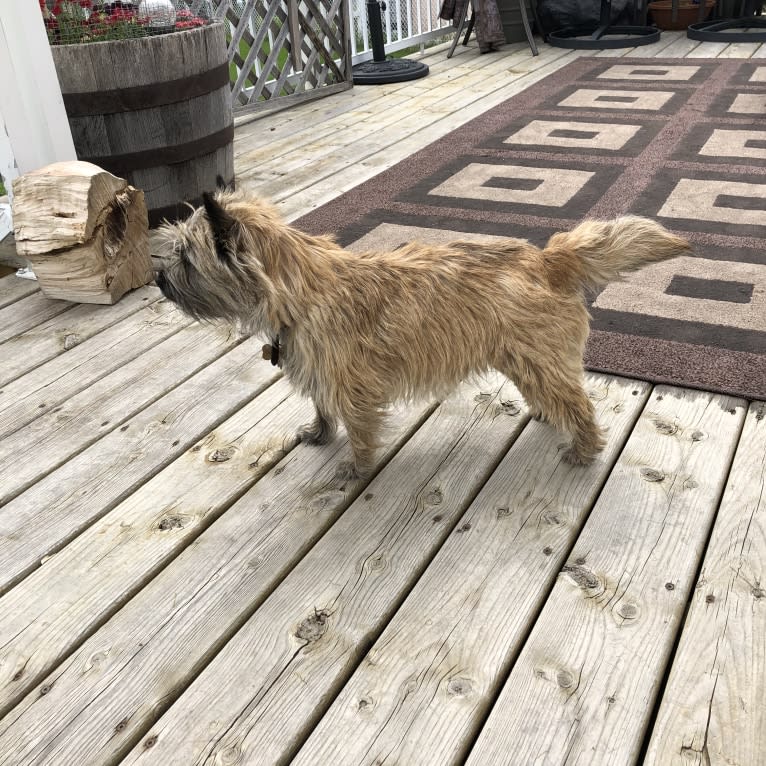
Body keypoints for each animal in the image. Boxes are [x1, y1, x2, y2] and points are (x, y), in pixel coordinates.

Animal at [153, 192, 692, 480]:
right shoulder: (324, 374)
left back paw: (583, 450)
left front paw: (356, 466)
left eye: (185, 258)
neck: (299, 288)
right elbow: (322, 407)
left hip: (540, 360)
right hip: (526, 358)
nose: (158, 278)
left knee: (581, 406)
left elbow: (359, 429)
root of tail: (545, 259)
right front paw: (319, 433)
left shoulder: (354, 386)